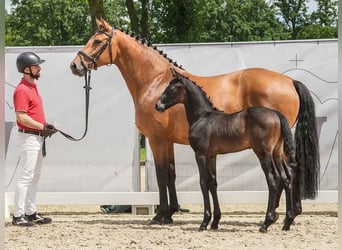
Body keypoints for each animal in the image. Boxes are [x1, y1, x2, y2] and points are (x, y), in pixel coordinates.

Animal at [70, 18, 320, 225]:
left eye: (97, 41)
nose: (75, 65)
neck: (156, 81)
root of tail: (289, 81)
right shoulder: (168, 141)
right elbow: (171, 174)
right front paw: (170, 213)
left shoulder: (156, 139)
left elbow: (161, 175)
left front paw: (160, 215)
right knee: (290, 170)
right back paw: (285, 213)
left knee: (289, 170)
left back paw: (280, 214)